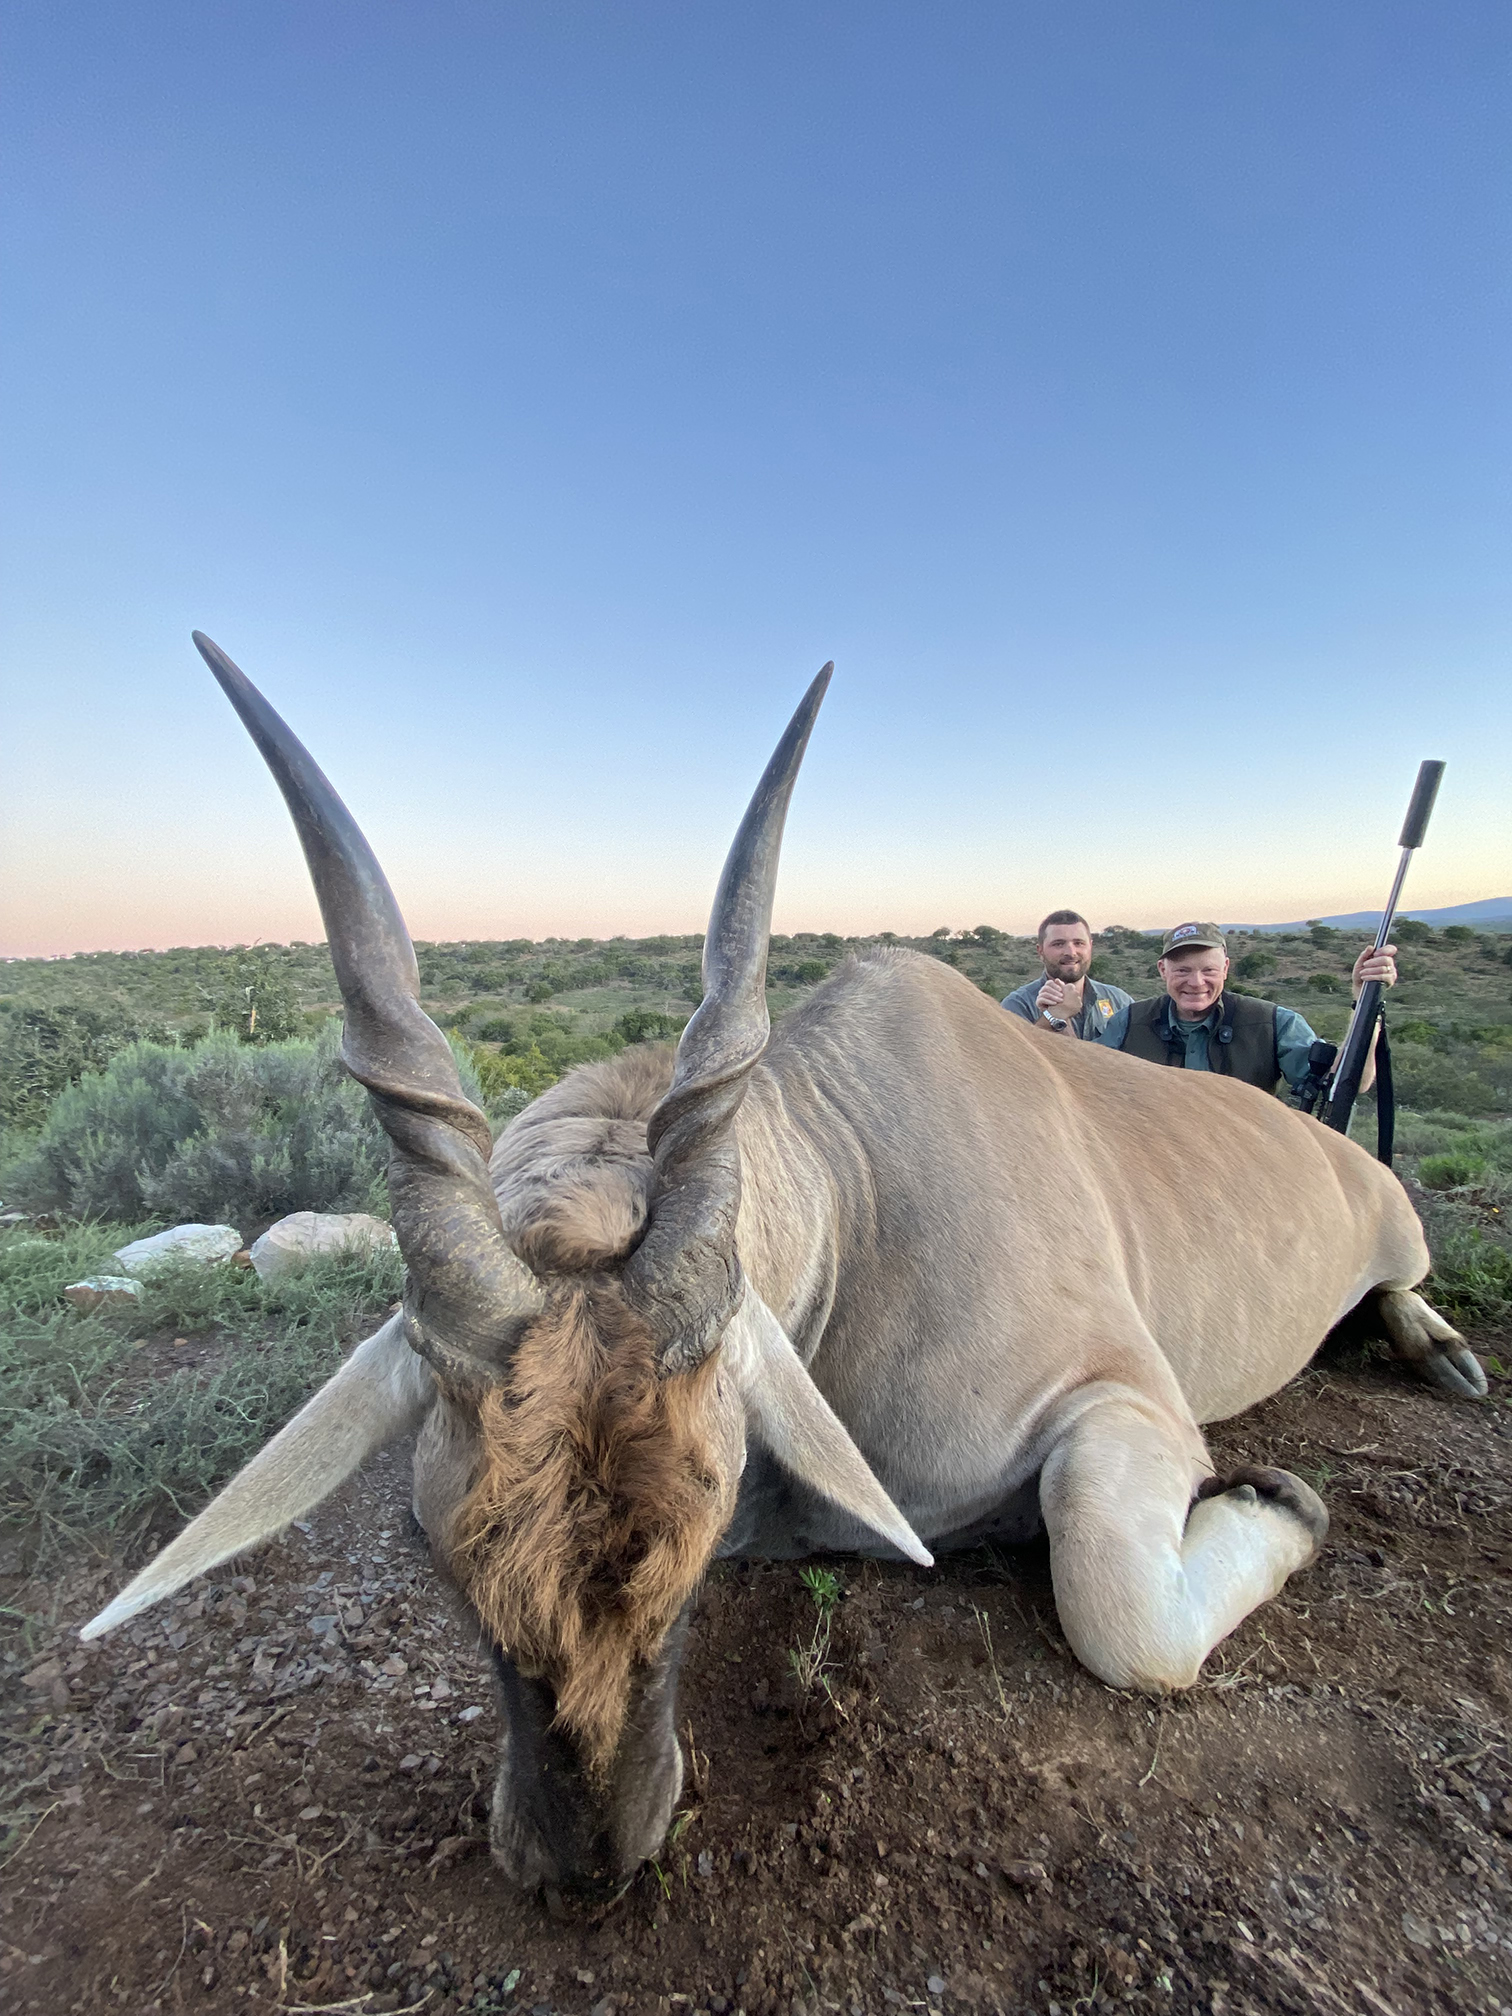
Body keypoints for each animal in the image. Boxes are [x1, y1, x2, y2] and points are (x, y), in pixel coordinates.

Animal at [77, 641, 1483, 1886]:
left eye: (701, 1554)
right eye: (436, 1554)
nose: (586, 1865)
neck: (856, 1202)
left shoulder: (1124, 1406)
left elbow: (1127, 1627)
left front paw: (1288, 1499)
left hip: (1397, 1226)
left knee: (1401, 1285)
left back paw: (1438, 1347)